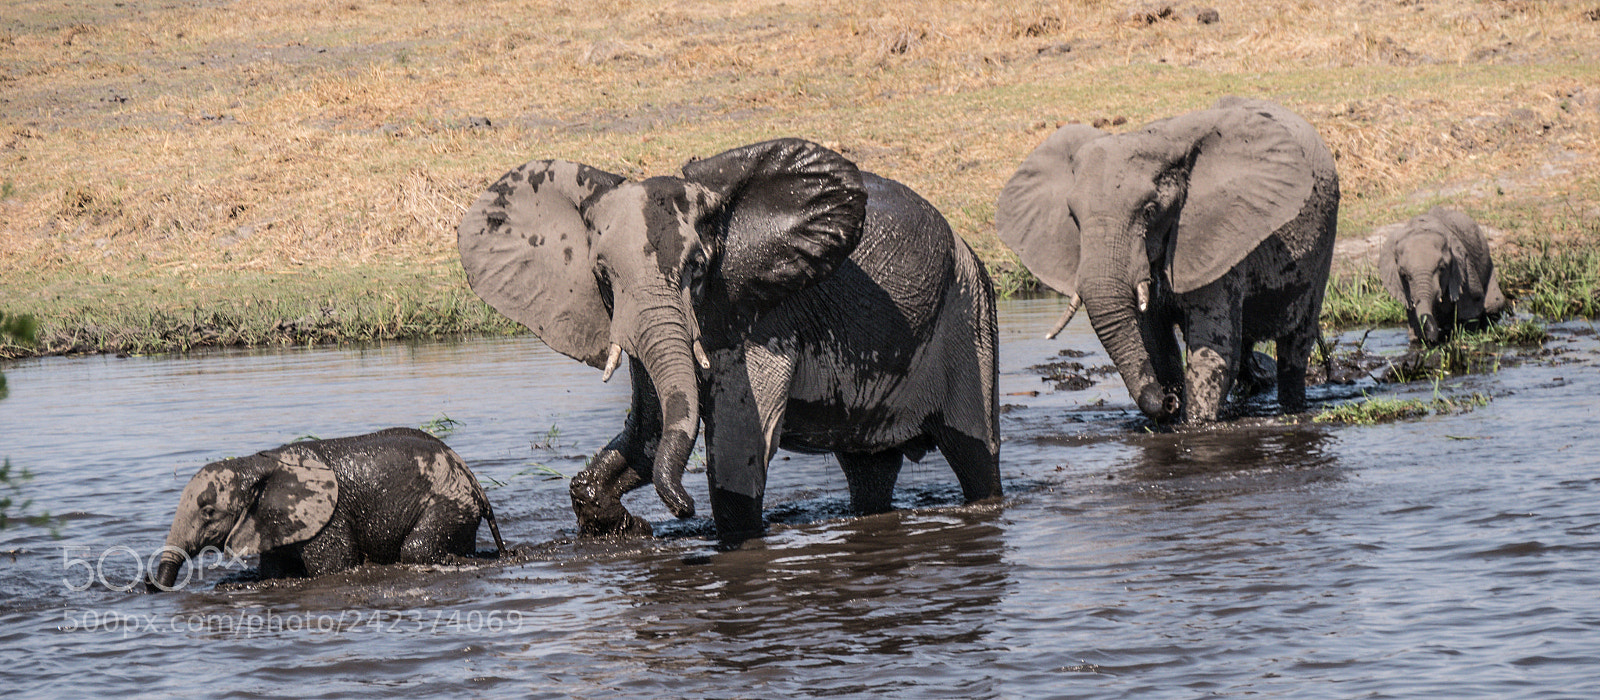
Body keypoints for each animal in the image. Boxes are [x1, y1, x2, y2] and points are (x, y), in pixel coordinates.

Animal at [150, 428, 505, 590]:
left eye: (208, 512)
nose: (149, 585)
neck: (256, 463)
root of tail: (470, 475)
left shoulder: (327, 518)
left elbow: (333, 567)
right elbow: (273, 571)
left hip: (448, 501)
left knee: (416, 549)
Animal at [457, 138, 1001, 541]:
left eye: (697, 268)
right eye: (603, 275)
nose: (680, 510)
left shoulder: (764, 318)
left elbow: (737, 458)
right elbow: (652, 430)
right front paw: (619, 526)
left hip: (968, 310)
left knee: (975, 455)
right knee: (870, 472)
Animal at [997, 96, 1340, 423]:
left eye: (1149, 211)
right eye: (1073, 217)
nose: (1169, 401)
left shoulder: (1215, 232)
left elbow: (1212, 352)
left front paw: (1193, 424)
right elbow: (1156, 345)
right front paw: (1171, 411)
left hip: (1324, 240)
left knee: (1296, 345)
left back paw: (1292, 406)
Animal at [1379, 206, 1506, 344]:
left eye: (1441, 268)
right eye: (1404, 275)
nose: (1433, 338)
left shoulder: (1464, 267)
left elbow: (1471, 306)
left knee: (1493, 304)